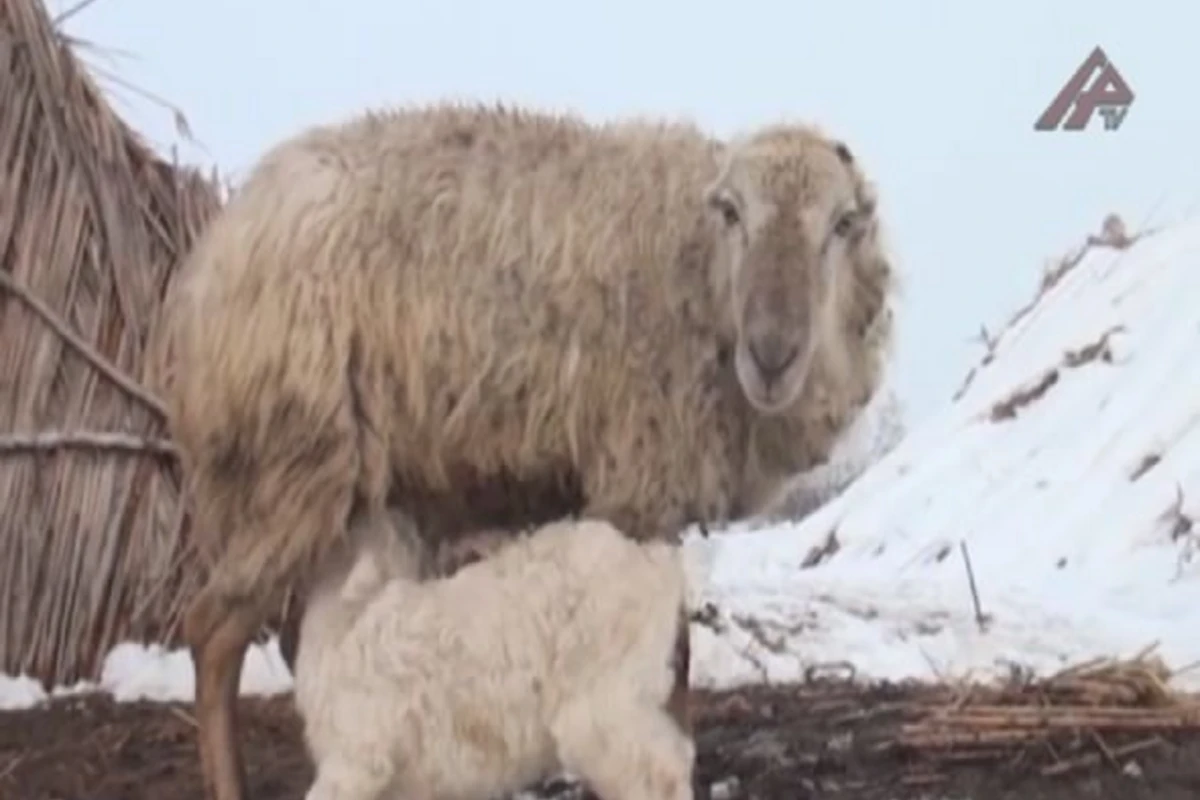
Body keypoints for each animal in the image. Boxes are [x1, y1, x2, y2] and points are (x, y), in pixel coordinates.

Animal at [292, 513, 693, 800]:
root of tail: (656, 565)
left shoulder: (358, 759)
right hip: (629, 694)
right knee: (676, 756)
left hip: (597, 704)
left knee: (658, 774)